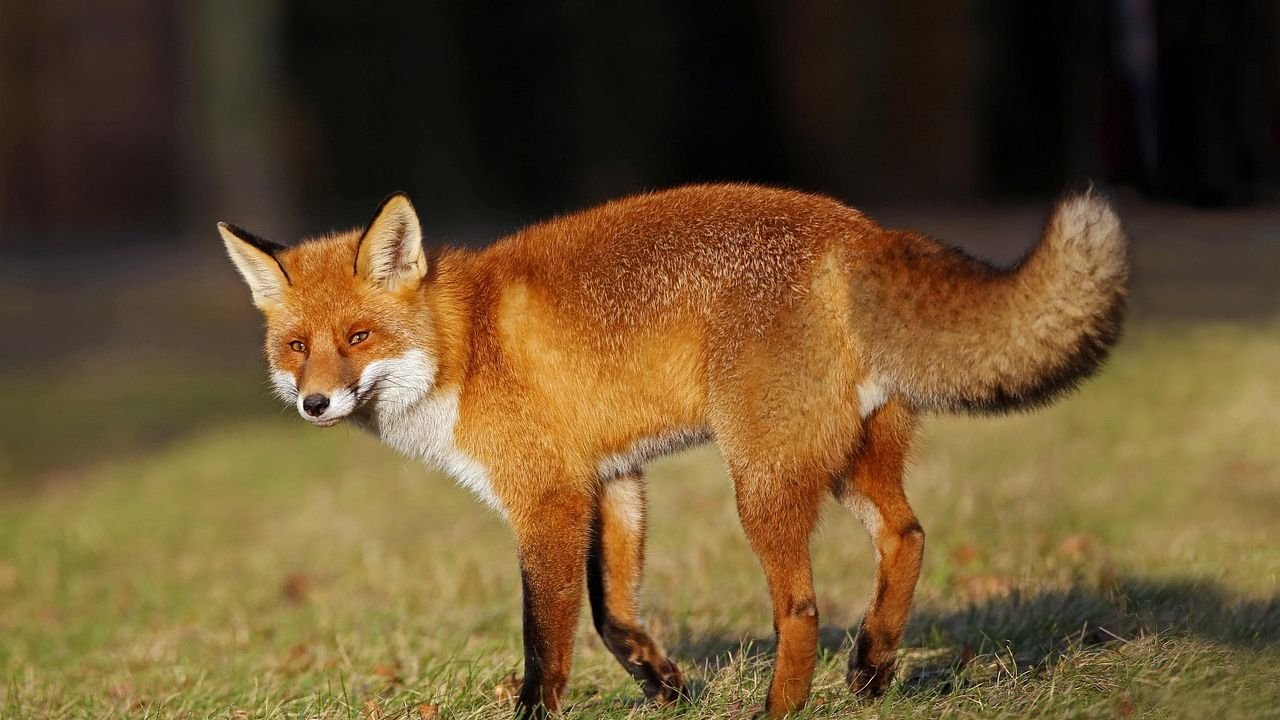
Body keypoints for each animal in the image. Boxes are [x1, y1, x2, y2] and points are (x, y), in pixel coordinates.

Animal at [220, 183, 1127, 718]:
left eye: (358, 337)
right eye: (297, 347)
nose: (314, 402)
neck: (465, 346)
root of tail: (858, 229)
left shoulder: (547, 497)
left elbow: (545, 636)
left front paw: (542, 709)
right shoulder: (613, 478)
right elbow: (613, 613)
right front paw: (665, 685)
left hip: (760, 479)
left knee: (801, 609)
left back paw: (781, 711)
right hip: (845, 463)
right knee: (907, 538)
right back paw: (870, 669)